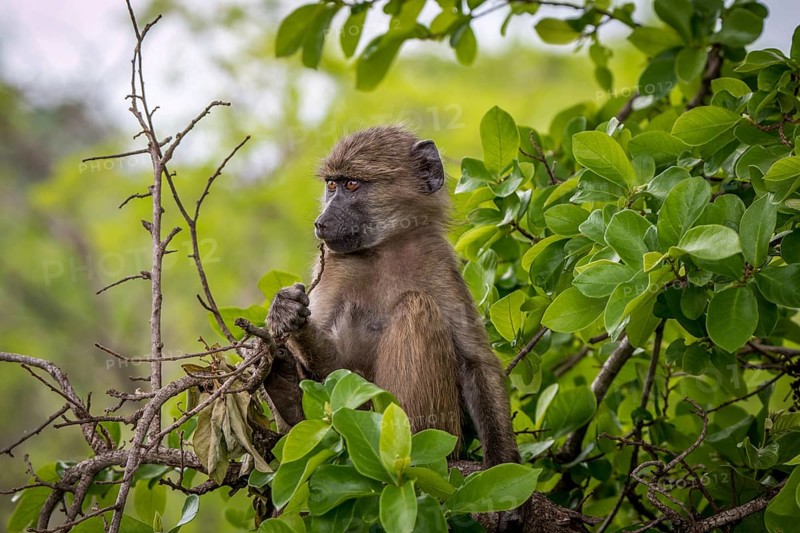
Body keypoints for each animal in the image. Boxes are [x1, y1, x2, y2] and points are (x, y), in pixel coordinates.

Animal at [265, 126, 520, 468]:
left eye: (352, 184)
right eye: (331, 185)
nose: (321, 222)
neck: (385, 248)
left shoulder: (438, 262)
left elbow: (476, 361)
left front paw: (503, 463)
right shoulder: (331, 268)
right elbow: (336, 372)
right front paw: (288, 314)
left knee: (416, 304)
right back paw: (284, 390)